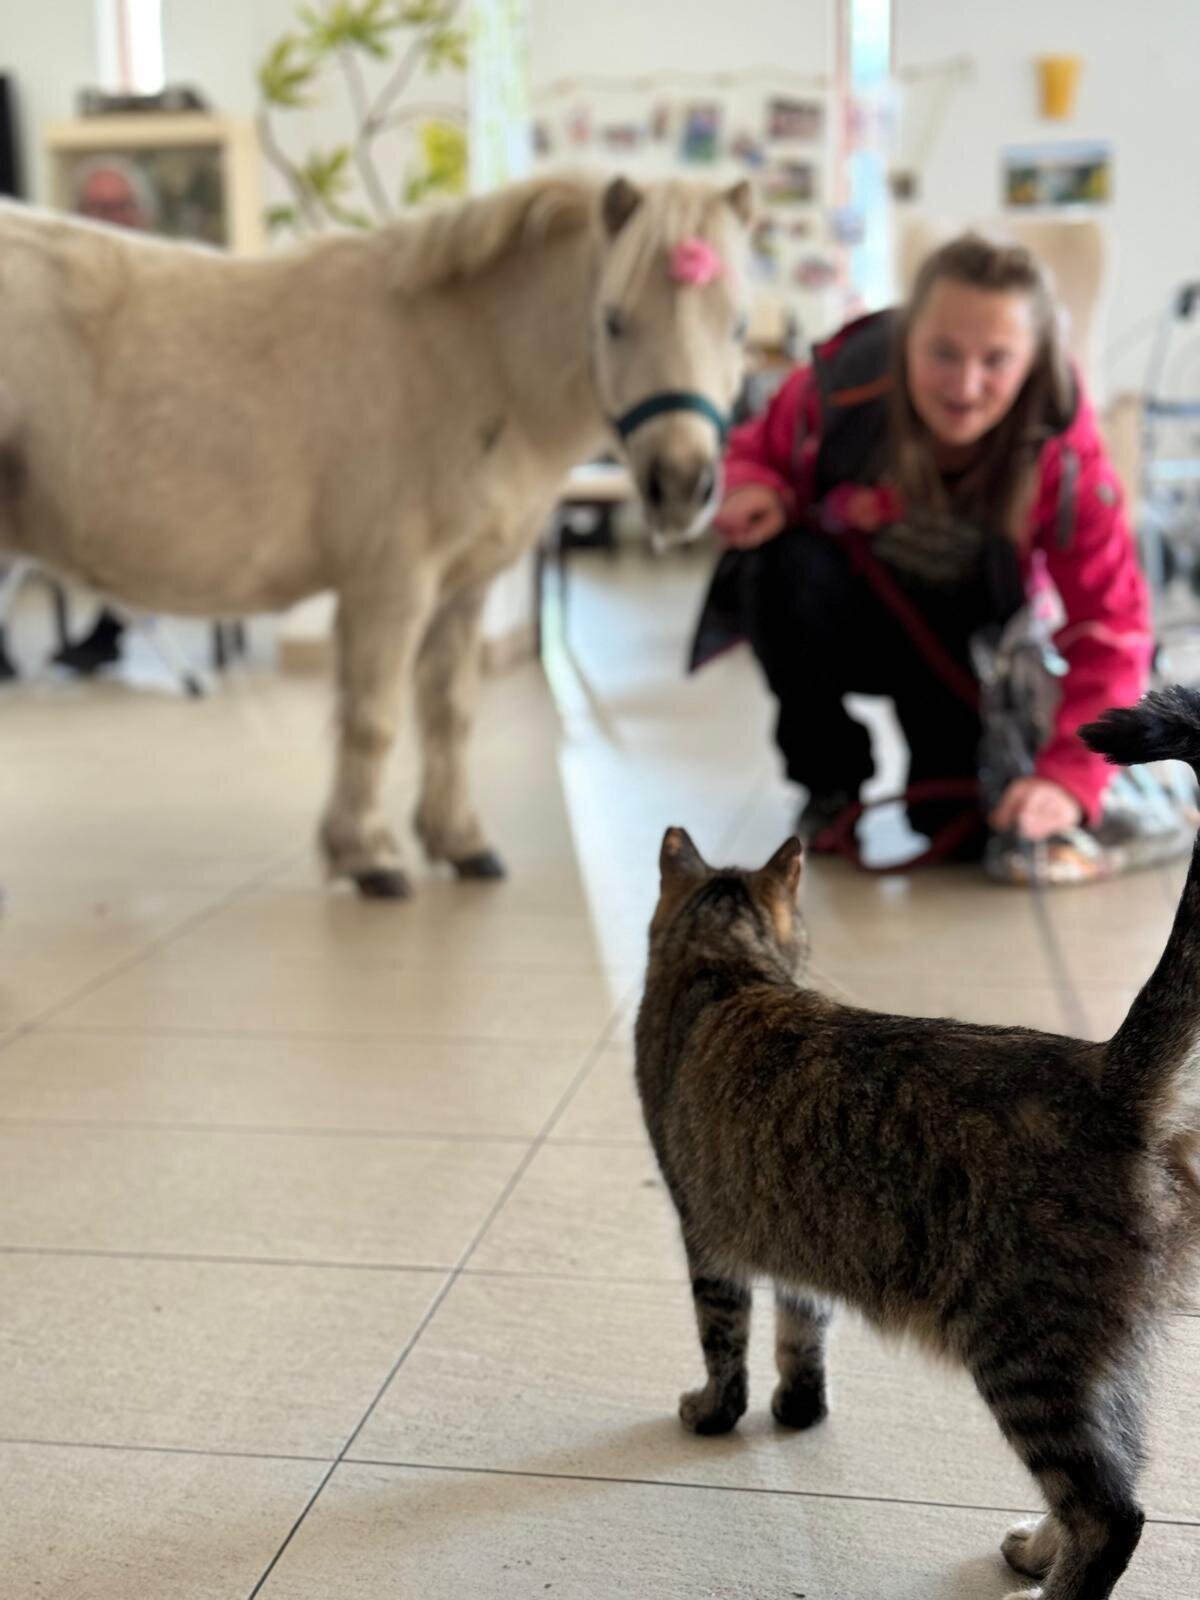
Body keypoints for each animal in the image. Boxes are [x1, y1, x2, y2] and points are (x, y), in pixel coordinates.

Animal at [0, 173, 752, 898]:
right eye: (614, 321)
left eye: (738, 326)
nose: (681, 484)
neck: (465, 362)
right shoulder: (390, 585)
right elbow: (375, 719)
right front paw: (367, 855)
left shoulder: (463, 589)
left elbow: (449, 712)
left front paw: (459, 842)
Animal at [634, 685, 1200, 1600]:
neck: (730, 971)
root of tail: (1108, 1073)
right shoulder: (796, 1241)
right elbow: (802, 1333)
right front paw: (798, 1410)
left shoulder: (706, 1237)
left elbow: (724, 1343)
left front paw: (714, 1414)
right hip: (1099, 1362)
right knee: (1119, 1466)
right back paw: (1036, 1551)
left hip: (1026, 1355)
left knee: (1111, 1512)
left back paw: (1056, 1577)